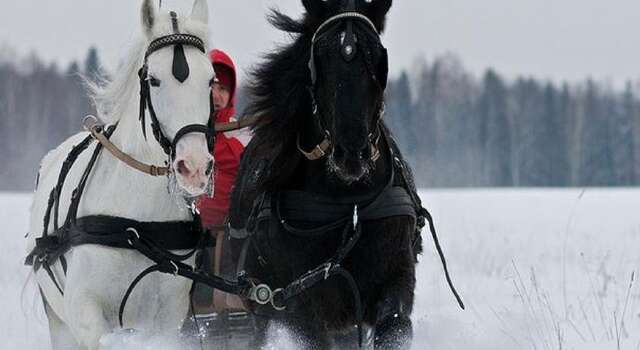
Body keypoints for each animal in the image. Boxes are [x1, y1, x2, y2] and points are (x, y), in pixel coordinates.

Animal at [26, 1, 215, 348]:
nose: (194, 166)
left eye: (210, 80)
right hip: (59, 320)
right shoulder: (85, 312)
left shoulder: (168, 319)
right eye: (154, 80)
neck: (136, 227)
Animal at [230, 1, 450, 348]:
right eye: (318, 58)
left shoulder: (396, 277)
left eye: (378, 58)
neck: (349, 204)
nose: (352, 154)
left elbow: (395, 324)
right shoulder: (298, 303)